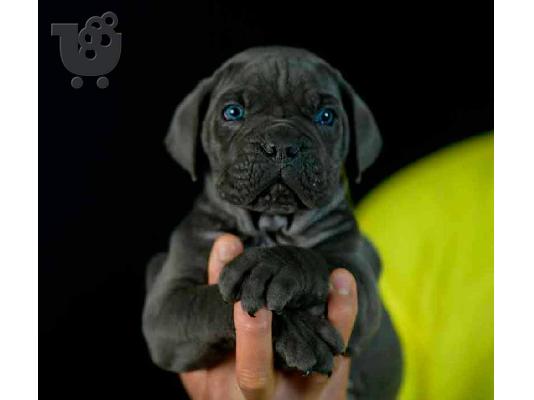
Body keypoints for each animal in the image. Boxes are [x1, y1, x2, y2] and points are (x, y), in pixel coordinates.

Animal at [142, 46, 402, 396]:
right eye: (233, 112)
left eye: (326, 117)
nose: (282, 144)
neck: (270, 225)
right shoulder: (167, 311)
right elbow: (213, 303)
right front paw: (299, 333)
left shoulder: (359, 281)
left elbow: (315, 260)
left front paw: (276, 265)